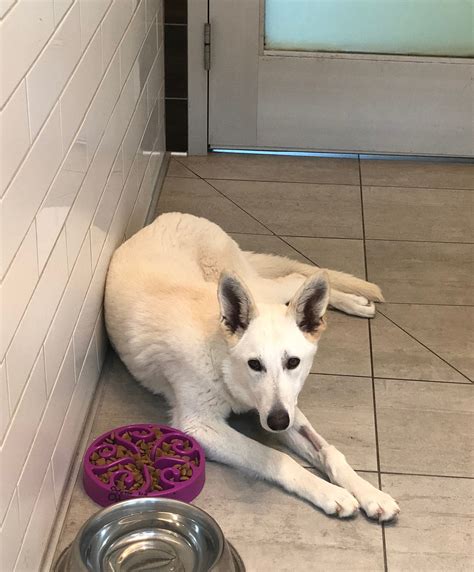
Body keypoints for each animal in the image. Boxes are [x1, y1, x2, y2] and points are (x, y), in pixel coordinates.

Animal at [104, 212, 400, 520]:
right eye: (254, 364)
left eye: (293, 362)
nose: (278, 422)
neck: (223, 363)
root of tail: (171, 216)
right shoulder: (200, 426)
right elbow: (276, 456)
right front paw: (330, 492)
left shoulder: (286, 405)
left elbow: (328, 450)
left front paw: (369, 492)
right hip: (248, 288)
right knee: (293, 281)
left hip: (251, 287)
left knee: (297, 279)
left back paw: (356, 302)